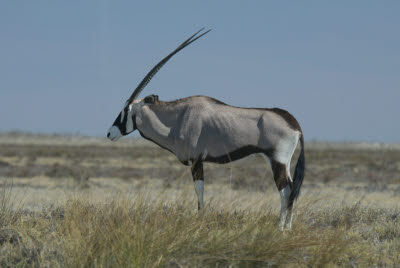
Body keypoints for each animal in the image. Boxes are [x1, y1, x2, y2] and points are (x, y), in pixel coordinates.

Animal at [105, 29, 304, 230]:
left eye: (126, 110)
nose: (109, 133)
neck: (178, 118)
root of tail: (294, 123)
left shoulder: (196, 160)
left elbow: (199, 190)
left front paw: (199, 220)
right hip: (284, 162)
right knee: (292, 189)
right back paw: (288, 228)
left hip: (277, 160)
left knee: (285, 191)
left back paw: (280, 228)